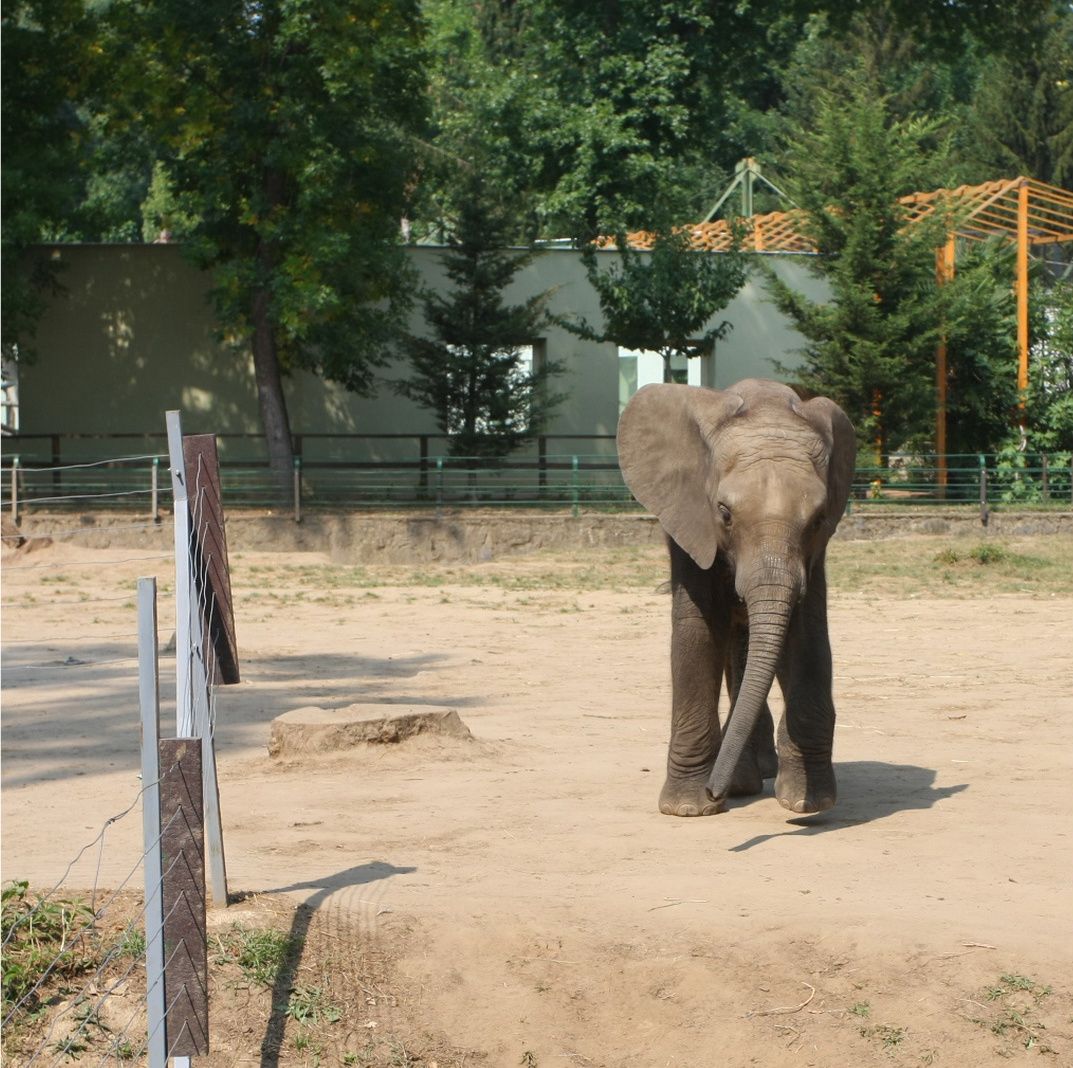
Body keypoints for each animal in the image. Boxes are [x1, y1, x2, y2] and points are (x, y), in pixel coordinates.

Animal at [617, 378, 856, 817]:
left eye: (818, 519)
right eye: (724, 513)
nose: (714, 791)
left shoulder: (815, 553)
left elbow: (808, 634)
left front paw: (806, 802)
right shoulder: (692, 521)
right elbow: (698, 631)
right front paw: (689, 808)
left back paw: (751, 776)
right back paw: (742, 781)